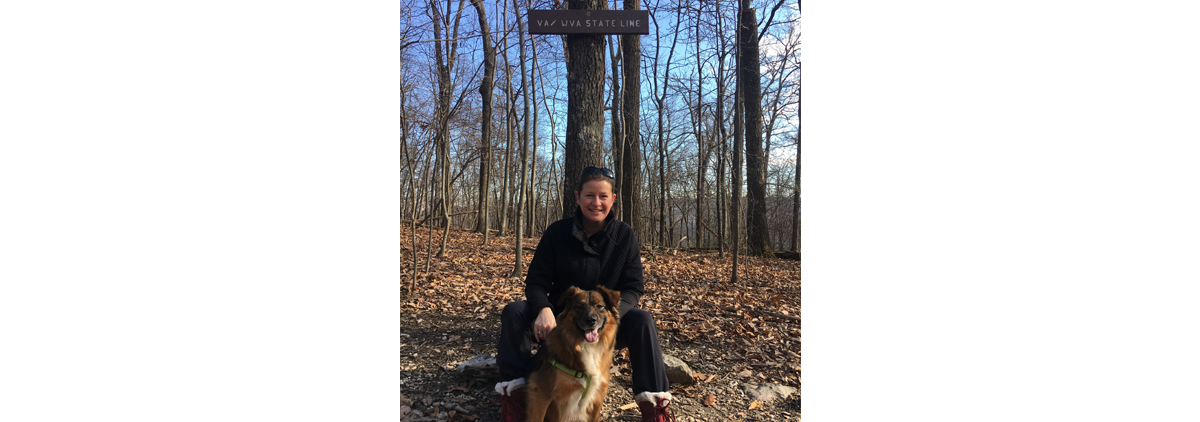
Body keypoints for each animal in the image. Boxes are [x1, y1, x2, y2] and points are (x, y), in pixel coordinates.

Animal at [523, 285, 619, 419]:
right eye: (579, 307)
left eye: (599, 306)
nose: (591, 320)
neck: (588, 347)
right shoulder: (540, 391)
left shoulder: (598, 396)